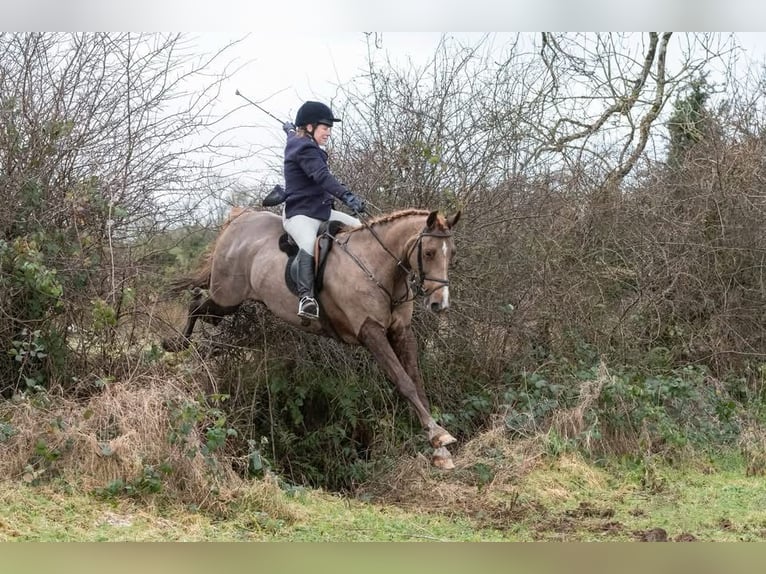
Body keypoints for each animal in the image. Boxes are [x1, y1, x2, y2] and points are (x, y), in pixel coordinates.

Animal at [163, 209, 462, 470]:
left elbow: (418, 385)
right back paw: (175, 346)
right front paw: (438, 435)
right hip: (226, 298)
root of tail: (240, 218)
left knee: (197, 302)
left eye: (452, 253)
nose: (440, 304)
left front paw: (440, 449)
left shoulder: (402, 332)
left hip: (227, 302)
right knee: (195, 304)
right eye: (429, 252)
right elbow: (404, 383)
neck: (378, 268)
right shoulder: (371, 333)